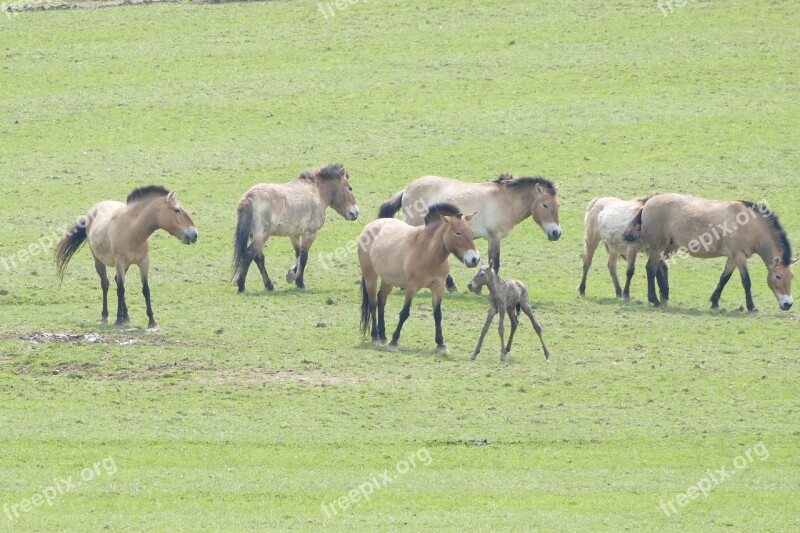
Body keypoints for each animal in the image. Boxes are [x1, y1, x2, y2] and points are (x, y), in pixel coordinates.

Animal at [55, 187, 198, 328]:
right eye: (177, 210)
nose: (195, 234)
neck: (133, 231)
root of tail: (93, 210)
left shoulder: (144, 263)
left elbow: (145, 289)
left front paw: (151, 320)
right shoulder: (120, 263)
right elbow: (121, 289)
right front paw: (118, 319)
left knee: (116, 280)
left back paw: (127, 316)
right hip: (99, 261)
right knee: (105, 284)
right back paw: (105, 316)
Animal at [231, 164, 356, 294]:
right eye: (350, 188)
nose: (355, 213)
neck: (316, 191)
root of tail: (249, 197)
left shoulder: (294, 234)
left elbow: (298, 254)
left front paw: (291, 275)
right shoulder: (310, 234)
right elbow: (304, 256)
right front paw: (300, 282)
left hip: (254, 236)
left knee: (259, 258)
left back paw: (269, 285)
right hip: (262, 237)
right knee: (248, 255)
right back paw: (241, 286)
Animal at [360, 204, 478, 354]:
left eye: (472, 232)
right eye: (458, 233)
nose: (474, 259)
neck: (428, 252)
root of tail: (370, 226)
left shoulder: (438, 287)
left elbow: (438, 314)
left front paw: (441, 344)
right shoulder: (412, 287)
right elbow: (404, 313)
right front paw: (394, 341)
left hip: (388, 280)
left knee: (381, 300)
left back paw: (383, 336)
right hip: (370, 276)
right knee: (373, 303)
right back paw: (375, 337)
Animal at [376, 174, 560, 290]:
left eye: (557, 205)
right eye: (545, 205)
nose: (556, 233)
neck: (506, 200)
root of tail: (407, 189)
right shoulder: (494, 238)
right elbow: (495, 263)